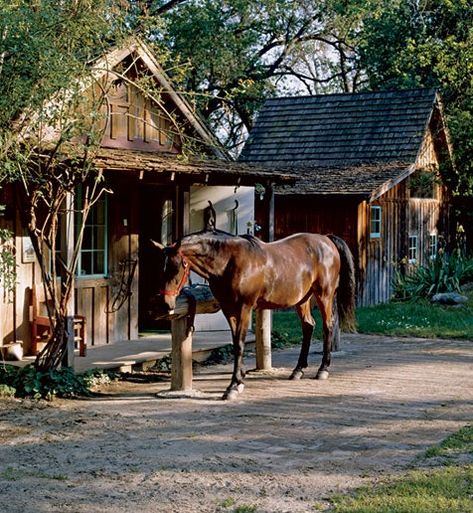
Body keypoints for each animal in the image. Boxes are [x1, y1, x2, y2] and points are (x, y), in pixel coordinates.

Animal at [153, 229, 356, 400]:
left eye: (176, 267)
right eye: (160, 268)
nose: (165, 304)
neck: (229, 262)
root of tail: (326, 239)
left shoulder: (245, 307)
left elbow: (240, 343)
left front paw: (233, 386)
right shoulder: (228, 309)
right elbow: (236, 343)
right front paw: (240, 379)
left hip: (324, 295)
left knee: (328, 326)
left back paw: (323, 369)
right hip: (302, 299)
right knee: (308, 326)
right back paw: (298, 370)